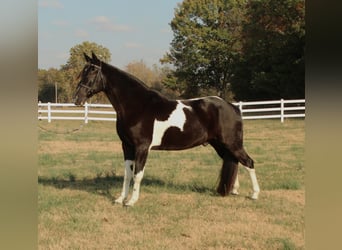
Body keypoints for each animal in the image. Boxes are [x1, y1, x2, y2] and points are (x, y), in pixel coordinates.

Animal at [72, 51, 260, 206]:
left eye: (92, 71)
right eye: (84, 71)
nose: (76, 98)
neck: (138, 106)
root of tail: (233, 107)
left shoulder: (142, 147)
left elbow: (137, 174)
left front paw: (131, 201)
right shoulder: (127, 146)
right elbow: (127, 174)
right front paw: (120, 199)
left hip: (232, 144)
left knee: (248, 162)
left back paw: (254, 194)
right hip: (220, 145)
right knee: (233, 161)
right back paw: (233, 190)